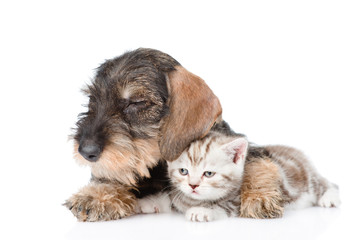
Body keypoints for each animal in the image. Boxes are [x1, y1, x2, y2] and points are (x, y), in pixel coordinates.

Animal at [136, 131, 340, 221]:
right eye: (183, 171)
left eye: (208, 174)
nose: (193, 185)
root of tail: (298, 153)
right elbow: (171, 199)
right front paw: (148, 202)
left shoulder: (238, 202)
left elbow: (221, 206)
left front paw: (202, 211)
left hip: (308, 181)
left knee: (327, 183)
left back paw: (329, 198)